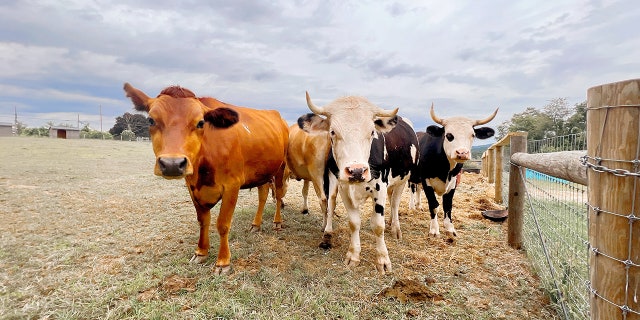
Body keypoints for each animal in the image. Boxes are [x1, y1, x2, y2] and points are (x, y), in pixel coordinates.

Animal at [122, 83, 288, 276]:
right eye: (151, 120)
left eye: (201, 123)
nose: (172, 164)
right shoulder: (192, 186)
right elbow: (203, 221)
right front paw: (201, 252)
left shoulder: (232, 185)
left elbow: (222, 224)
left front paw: (223, 262)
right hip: (262, 172)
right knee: (263, 195)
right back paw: (256, 224)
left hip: (281, 168)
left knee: (278, 195)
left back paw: (277, 222)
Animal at [300, 92, 420, 276]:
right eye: (332, 132)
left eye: (372, 132)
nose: (356, 171)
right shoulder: (343, 187)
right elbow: (354, 222)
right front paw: (353, 255)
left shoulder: (380, 188)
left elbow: (378, 225)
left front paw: (382, 260)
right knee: (331, 202)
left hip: (403, 180)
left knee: (394, 204)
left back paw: (395, 228)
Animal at [416, 104, 500, 238]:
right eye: (448, 135)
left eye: (472, 135)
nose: (462, 153)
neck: (445, 169)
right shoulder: (426, 181)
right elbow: (434, 205)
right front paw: (434, 229)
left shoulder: (453, 183)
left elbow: (448, 206)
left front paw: (449, 228)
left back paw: (418, 206)